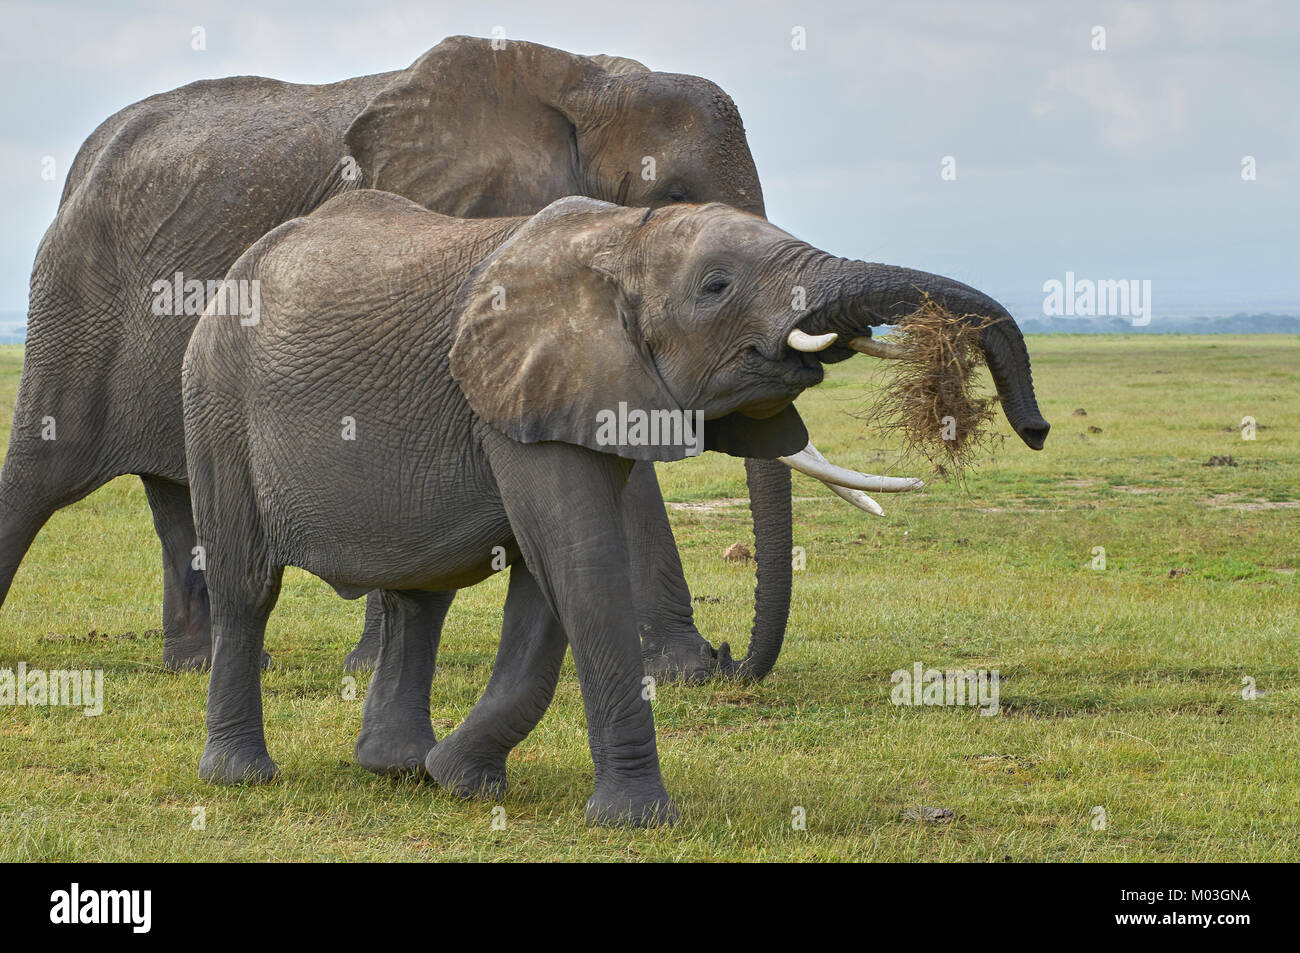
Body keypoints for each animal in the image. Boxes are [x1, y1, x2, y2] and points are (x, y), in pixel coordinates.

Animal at [2, 35, 904, 676]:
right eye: (677, 203)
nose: (735, 660)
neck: (585, 78)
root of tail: (82, 162)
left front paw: (685, 670)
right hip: (76, 294)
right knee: (44, 470)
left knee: (172, 493)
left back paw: (205, 665)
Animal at [183, 187, 1050, 826]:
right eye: (716, 287)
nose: (1036, 428)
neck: (621, 237)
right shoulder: (520, 393)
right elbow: (582, 559)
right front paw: (637, 820)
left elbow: (550, 584)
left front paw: (460, 779)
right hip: (215, 400)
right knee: (246, 587)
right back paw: (240, 776)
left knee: (419, 596)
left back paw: (395, 767)